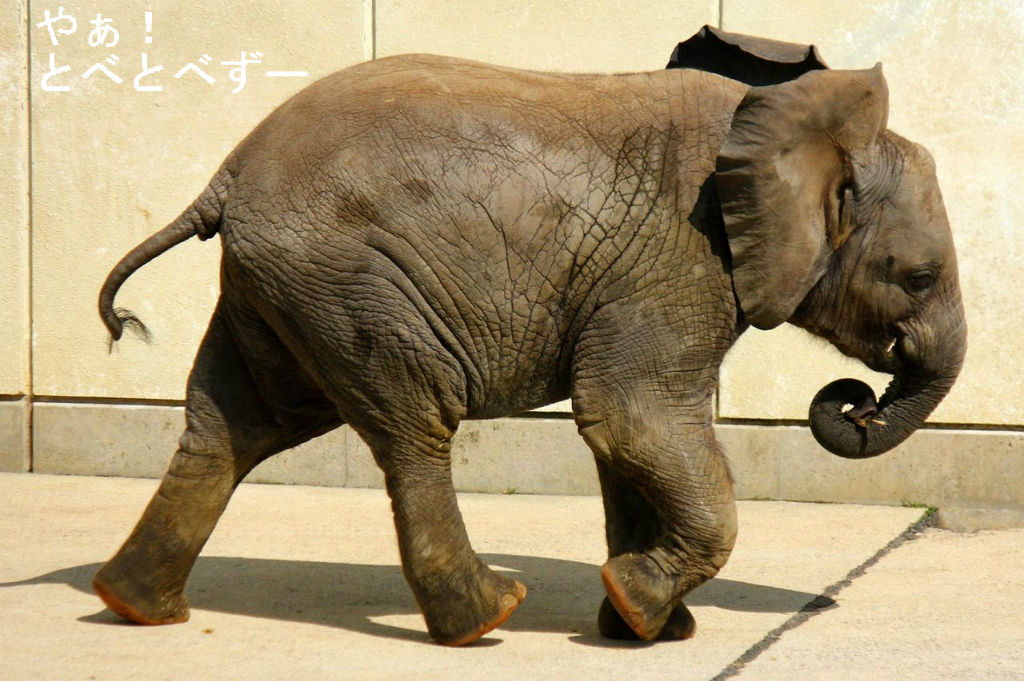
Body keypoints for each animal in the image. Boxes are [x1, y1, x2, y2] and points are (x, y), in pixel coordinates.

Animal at [93, 26, 965, 645]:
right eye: (919, 278)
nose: (854, 402)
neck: (792, 126)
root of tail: (225, 178)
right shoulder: (679, 260)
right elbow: (635, 420)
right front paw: (639, 604)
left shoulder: (647, 277)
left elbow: (629, 439)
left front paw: (648, 628)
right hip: (349, 280)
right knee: (412, 425)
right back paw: (485, 618)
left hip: (281, 287)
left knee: (233, 426)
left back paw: (135, 608)